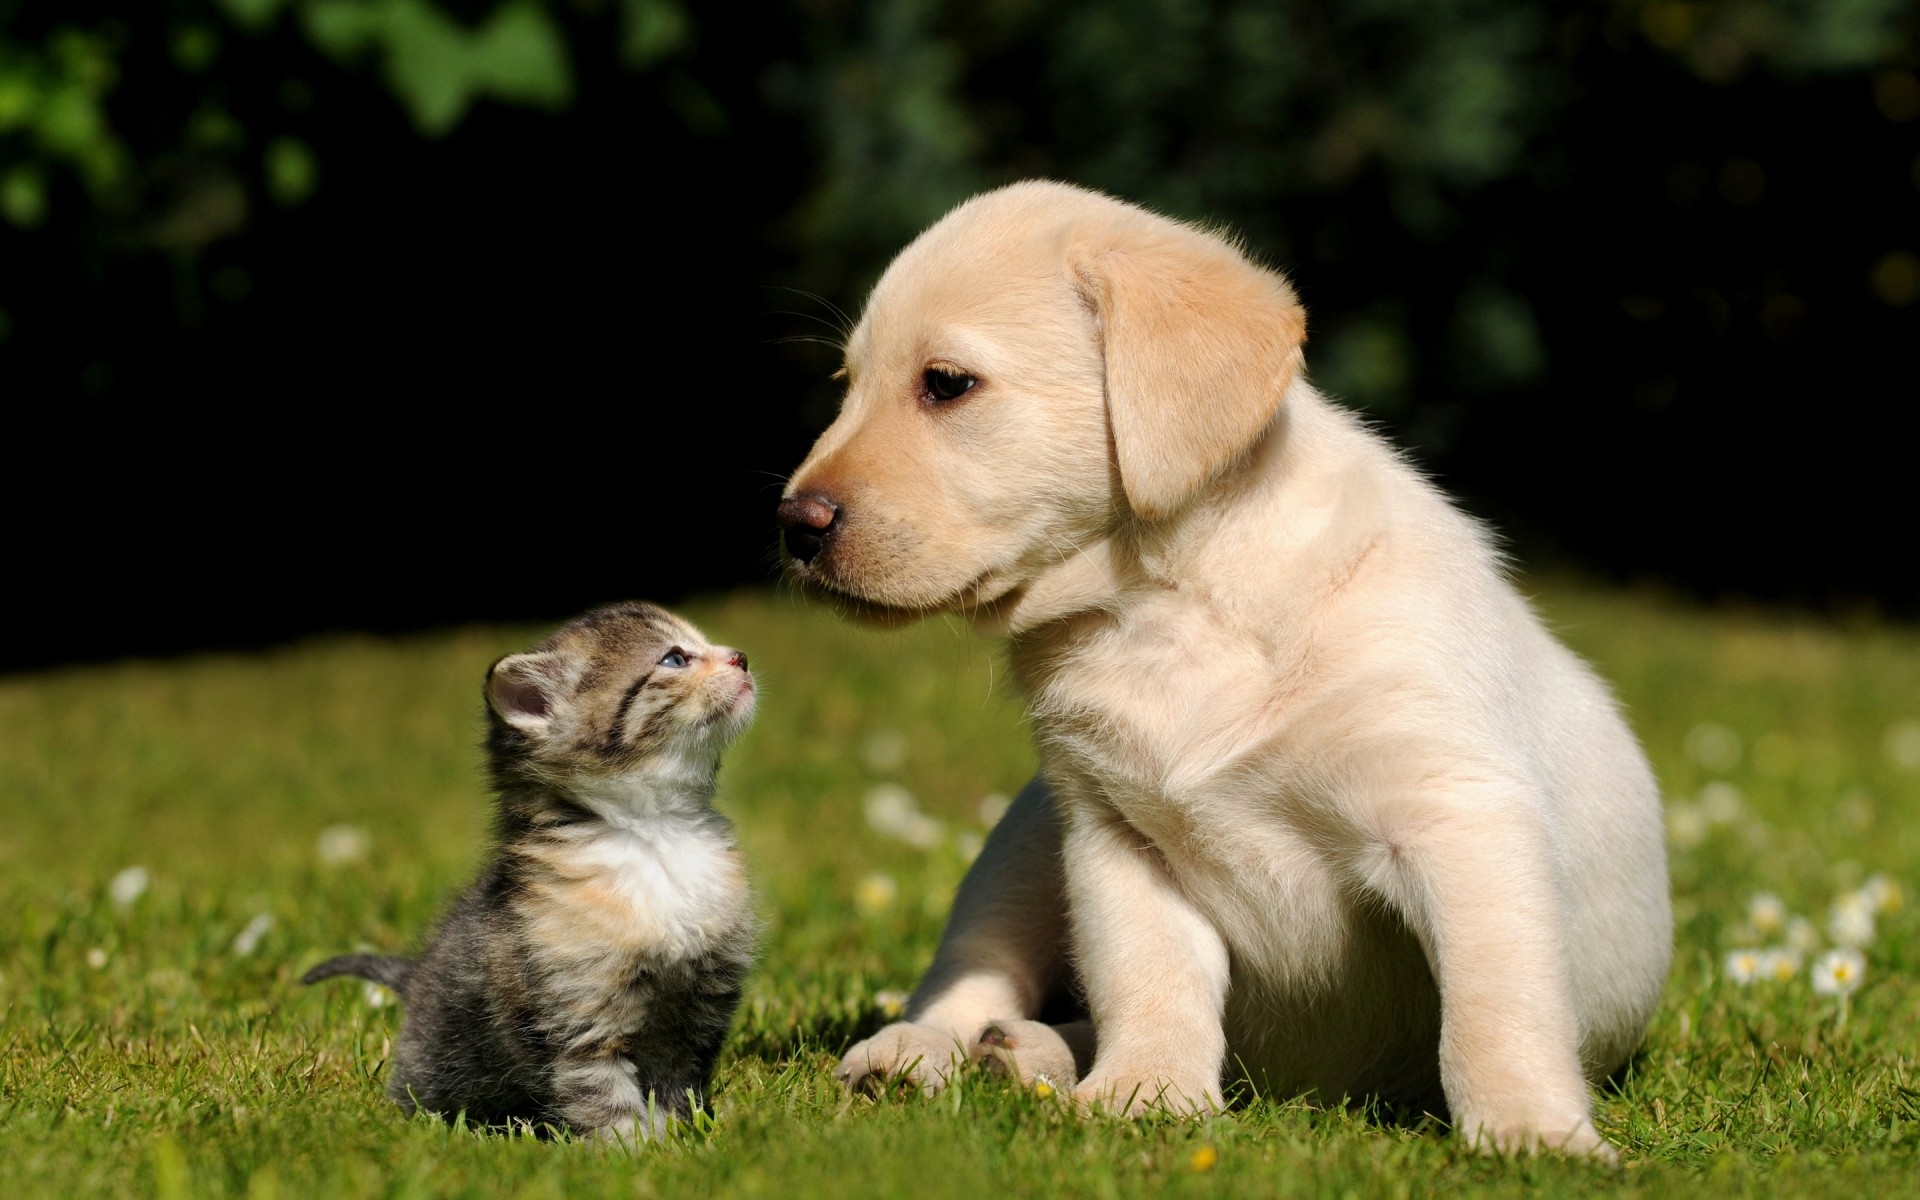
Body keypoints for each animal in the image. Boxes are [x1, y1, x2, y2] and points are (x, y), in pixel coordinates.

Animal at [301, 602, 756, 1136]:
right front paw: (630, 1149)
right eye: (674, 659)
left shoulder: (696, 1010)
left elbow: (675, 1088)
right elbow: (604, 1097)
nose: (741, 657)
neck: (656, 834)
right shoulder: (577, 1017)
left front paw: (680, 1139)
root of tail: (416, 978)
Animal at [775, 180, 1666, 1159]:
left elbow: (1496, 1007)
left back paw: (1027, 1054)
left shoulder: (1459, 817)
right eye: (847, 387)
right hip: (1023, 844)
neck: (1167, 605)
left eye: (946, 384)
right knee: (970, 975)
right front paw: (1145, 1094)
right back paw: (931, 1052)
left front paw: (1531, 1134)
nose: (793, 525)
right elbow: (1151, 979)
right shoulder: (1116, 837)